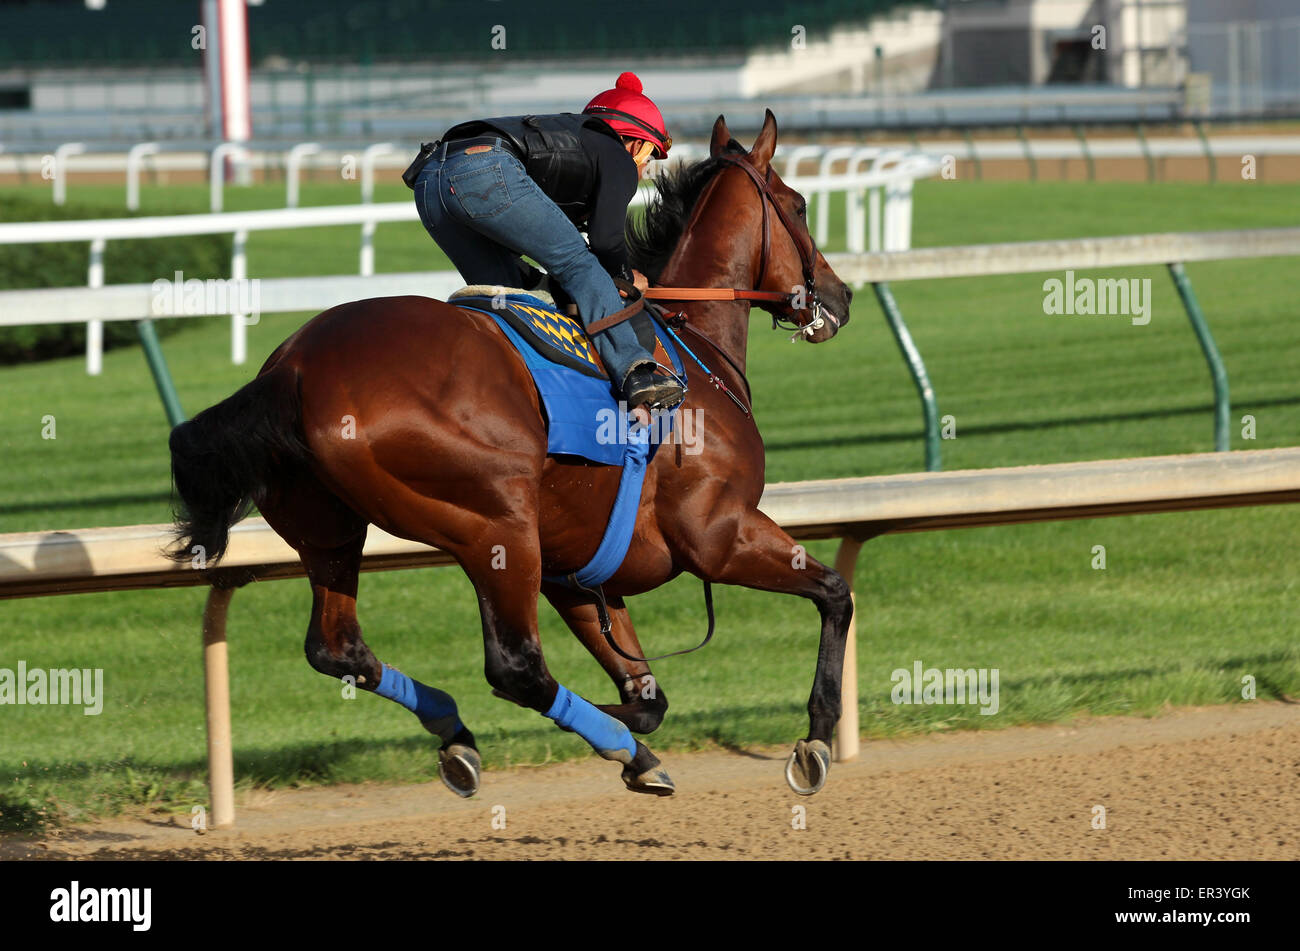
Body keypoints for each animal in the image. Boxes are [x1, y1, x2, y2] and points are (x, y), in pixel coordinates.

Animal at [167, 109, 857, 795]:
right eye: (798, 204)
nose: (841, 296)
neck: (691, 348)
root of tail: (293, 369)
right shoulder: (718, 534)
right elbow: (834, 592)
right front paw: (816, 740)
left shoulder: (576, 569)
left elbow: (648, 694)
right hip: (496, 524)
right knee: (516, 666)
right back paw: (608, 747)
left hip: (331, 532)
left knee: (339, 647)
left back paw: (464, 730)